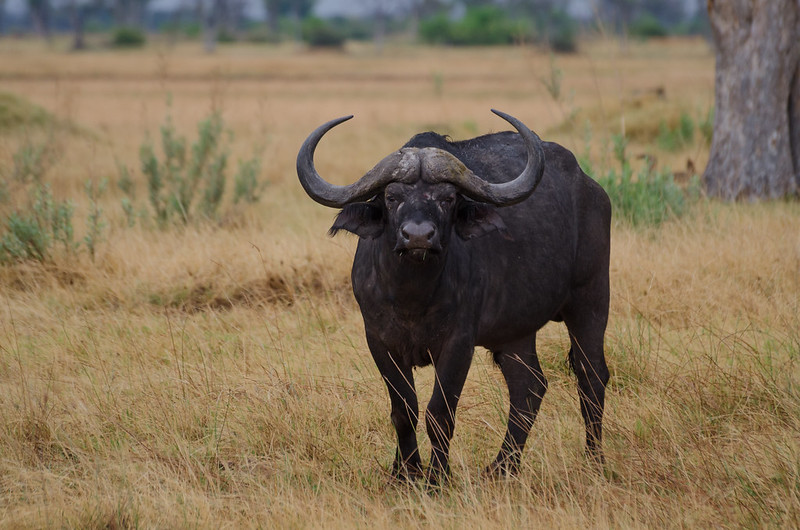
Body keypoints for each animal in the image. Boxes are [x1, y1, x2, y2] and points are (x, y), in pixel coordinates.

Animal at [296, 109, 608, 480]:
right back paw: (502, 467)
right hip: (516, 330)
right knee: (528, 386)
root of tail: (591, 189)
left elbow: (439, 414)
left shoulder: (458, 343)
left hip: (591, 300)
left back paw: (593, 461)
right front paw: (404, 473)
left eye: (447, 198)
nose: (418, 236)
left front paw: (437, 478)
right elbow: (404, 410)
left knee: (591, 376)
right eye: (391, 197)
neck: (412, 296)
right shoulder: (379, 341)